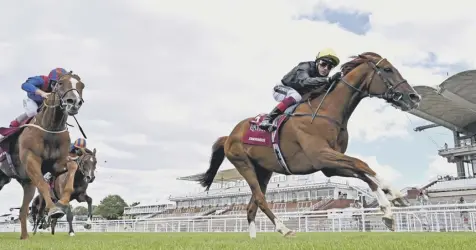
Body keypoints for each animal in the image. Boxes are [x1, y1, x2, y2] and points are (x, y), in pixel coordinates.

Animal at [0, 71, 85, 239]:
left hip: (25, 184)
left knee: (23, 210)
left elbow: (72, 166)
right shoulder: (31, 160)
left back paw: (25, 237)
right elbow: (44, 184)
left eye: (82, 85)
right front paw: (54, 209)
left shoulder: (58, 163)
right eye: (60, 83)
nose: (74, 102)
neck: (50, 128)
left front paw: (62, 202)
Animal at [196, 52, 420, 238]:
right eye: (388, 69)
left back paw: (254, 239)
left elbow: (362, 174)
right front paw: (395, 194)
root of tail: (229, 135)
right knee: (259, 199)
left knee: (251, 205)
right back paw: (284, 229)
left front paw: (388, 211)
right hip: (244, 164)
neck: (327, 112)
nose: (414, 97)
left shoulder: (328, 165)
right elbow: (362, 164)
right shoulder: (321, 155)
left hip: (264, 171)